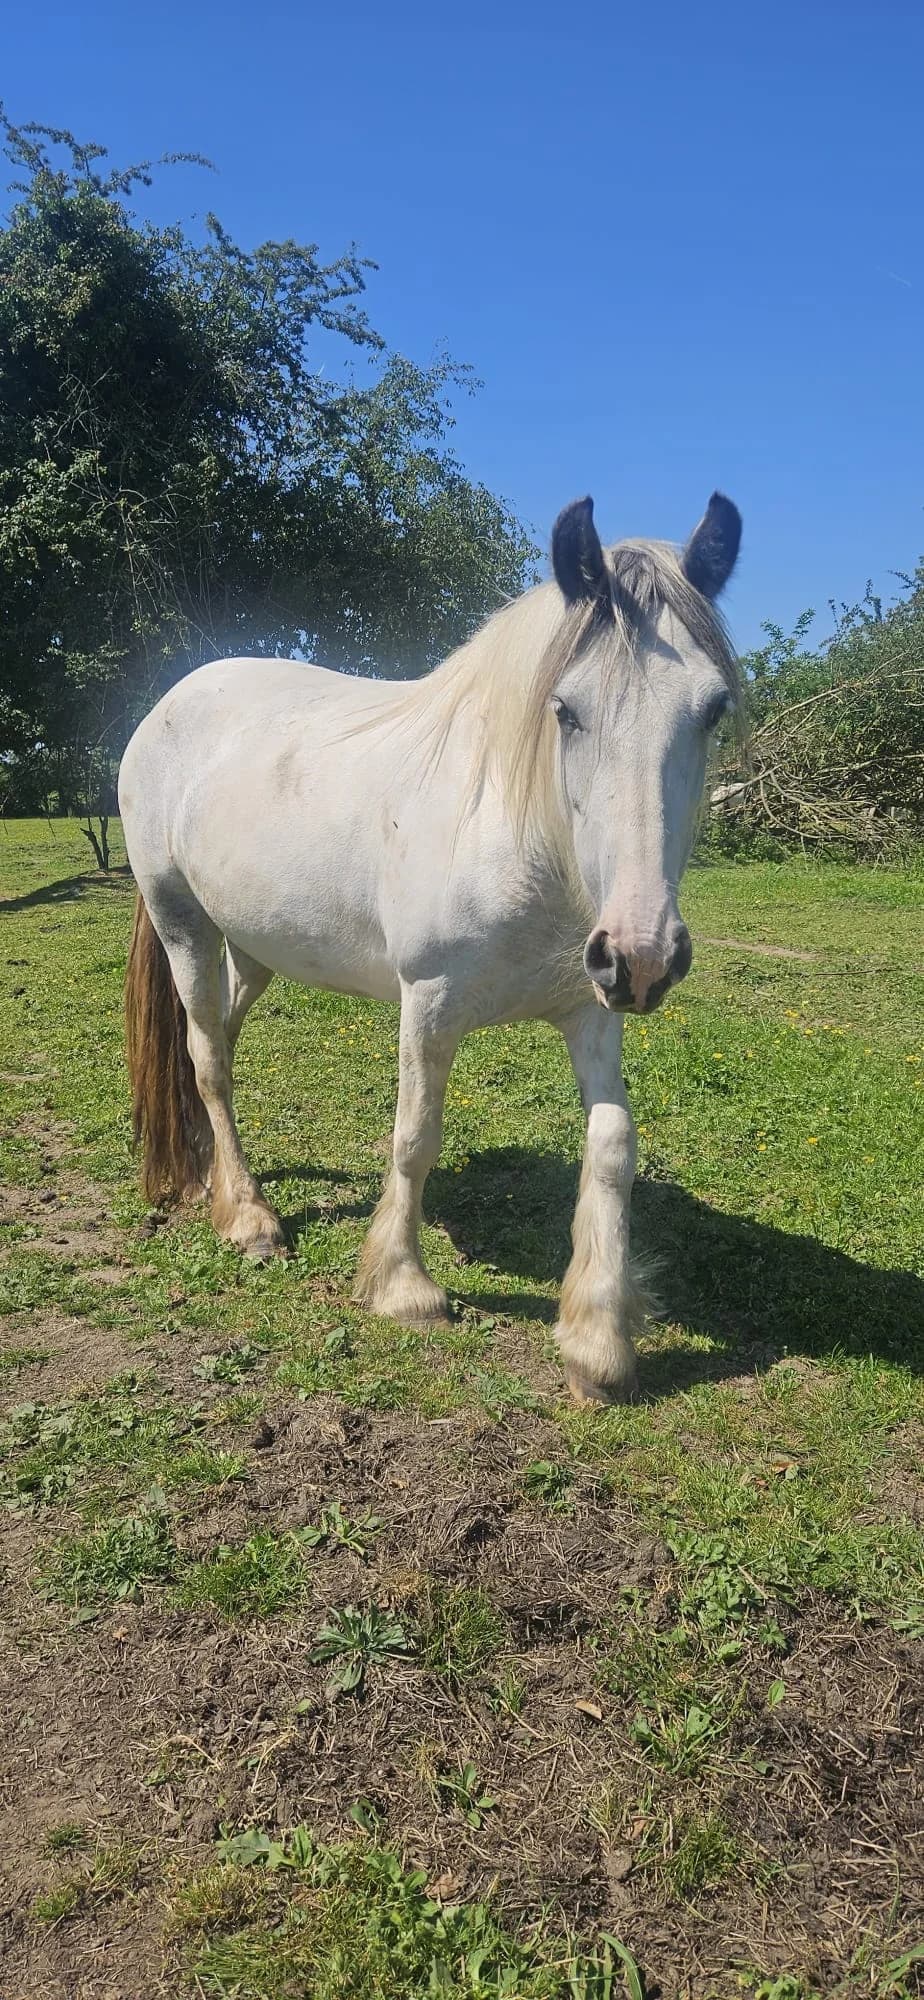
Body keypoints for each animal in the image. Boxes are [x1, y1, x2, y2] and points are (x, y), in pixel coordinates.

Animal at [119, 491, 742, 1404]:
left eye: (712, 709)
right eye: (566, 710)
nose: (643, 955)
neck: (517, 827)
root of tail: (169, 702)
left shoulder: (590, 1012)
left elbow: (612, 1146)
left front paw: (597, 1337)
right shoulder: (431, 1000)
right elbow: (415, 1137)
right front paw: (401, 1284)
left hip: (255, 950)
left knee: (220, 1043)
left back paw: (208, 1176)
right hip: (182, 923)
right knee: (207, 1059)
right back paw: (249, 1215)